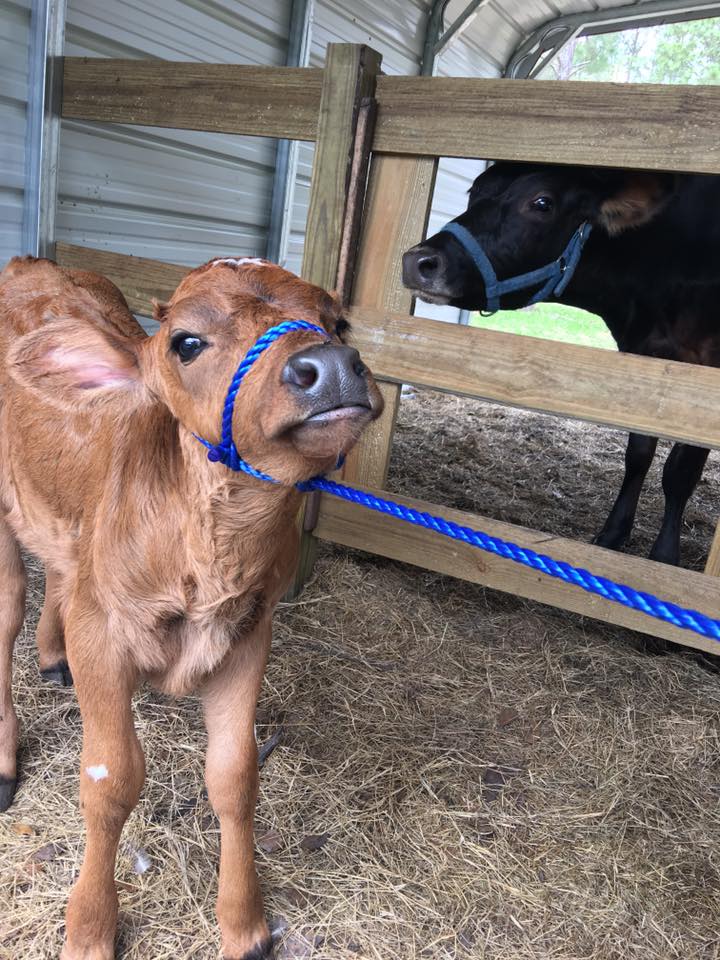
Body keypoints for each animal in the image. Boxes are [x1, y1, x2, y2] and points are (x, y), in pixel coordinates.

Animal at [0, 255, 383, 960]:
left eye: (339, 322)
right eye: (186, 342)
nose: (332, 364)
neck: (209, 556)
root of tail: (30, 263)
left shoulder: (249, 634)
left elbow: (235, 777)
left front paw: (244, 924)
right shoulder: (102, 636)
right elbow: (109, 779)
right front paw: (89, 927)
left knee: (61, 574)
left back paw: (51, 656)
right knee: (9, 608)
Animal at [402, 162, 720, 567]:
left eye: (542, 202)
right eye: (474, 191)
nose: (419, 262)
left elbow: (680, 472)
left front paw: (664, 557)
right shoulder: (644, 358)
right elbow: (638, 454)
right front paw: (612, 534)